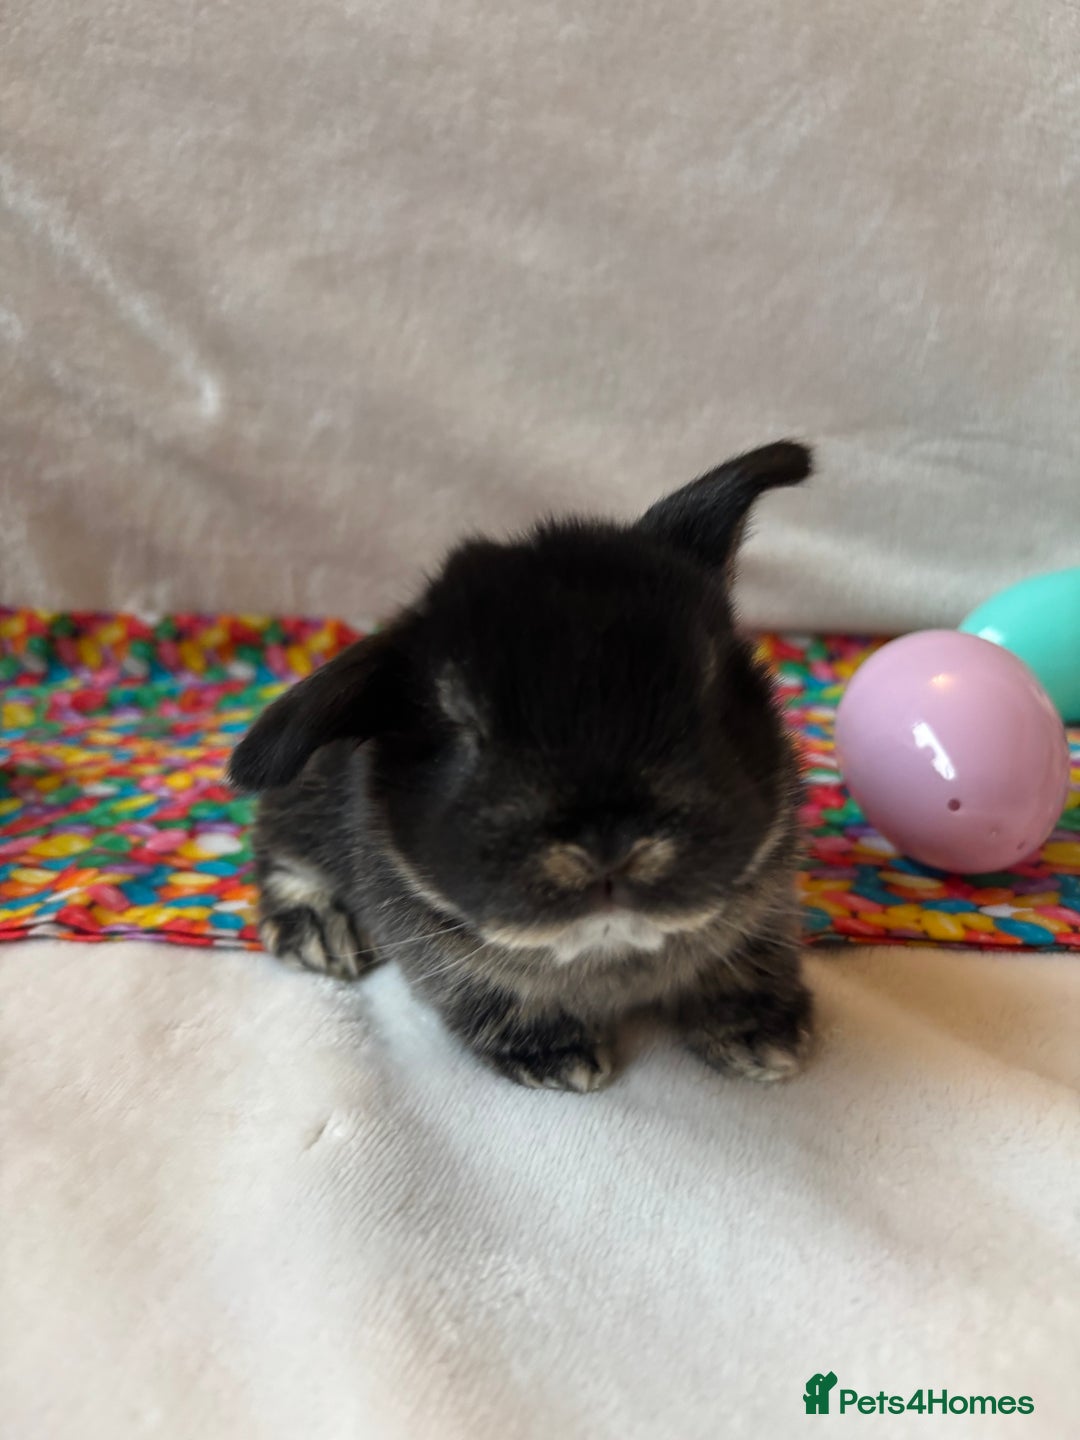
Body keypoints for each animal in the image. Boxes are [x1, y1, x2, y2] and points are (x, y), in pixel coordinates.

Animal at [229, 441, 814, 1091]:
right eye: (463, 729)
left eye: (709, 696)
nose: (609, 846)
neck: (610, 954)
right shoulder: (451, 965)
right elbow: (497, 996)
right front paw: (560, 1058)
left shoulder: (765, 908)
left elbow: (746, 965)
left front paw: (764, 1042)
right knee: (278, 848)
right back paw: (318, 932)